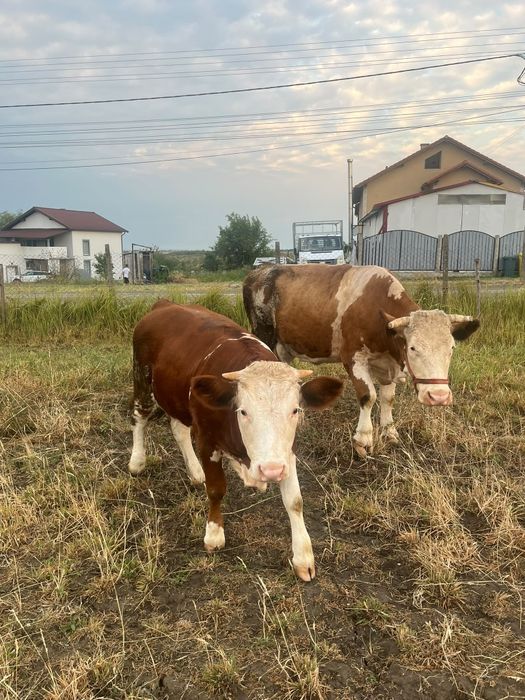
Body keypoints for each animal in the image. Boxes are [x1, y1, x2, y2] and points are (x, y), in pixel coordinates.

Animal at [129, 300, 343, 581]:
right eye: (243, 411)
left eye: (296, 410)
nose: (271, 470)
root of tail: (165, 304)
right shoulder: (207, 442)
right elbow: (216, 489)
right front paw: (214, 533)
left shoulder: (286, 453)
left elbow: (295, 501)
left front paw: (303, 556)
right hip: (142, 381)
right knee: (139, 417)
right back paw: (137, 461)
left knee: (178, 428)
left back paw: (194, 472)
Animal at [243, 264, 479, 457]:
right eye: (413, 348)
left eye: (451, 348)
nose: (438, 396)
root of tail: (260, 270)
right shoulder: (353, 359)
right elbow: (368, 396)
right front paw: (363, 440)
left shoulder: (388, 365)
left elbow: (387, 398)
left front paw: (390, 432)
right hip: (265, 335)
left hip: (285, 347)